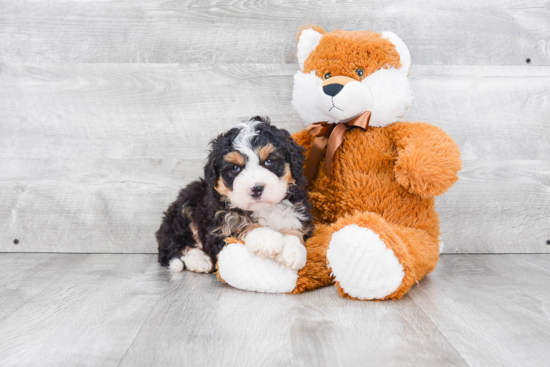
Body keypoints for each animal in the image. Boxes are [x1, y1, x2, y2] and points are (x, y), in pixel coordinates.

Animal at [157, 116, 316, 274]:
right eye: (235, 168)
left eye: (269, 161)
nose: (256, 189)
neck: (263, 209)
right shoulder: (217, 228)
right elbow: (239, 224)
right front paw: (265, 237)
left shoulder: (298, 210)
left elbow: (294, 227)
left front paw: (293, 250)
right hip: (184, 210)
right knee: (176, 245)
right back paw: (199, 260)